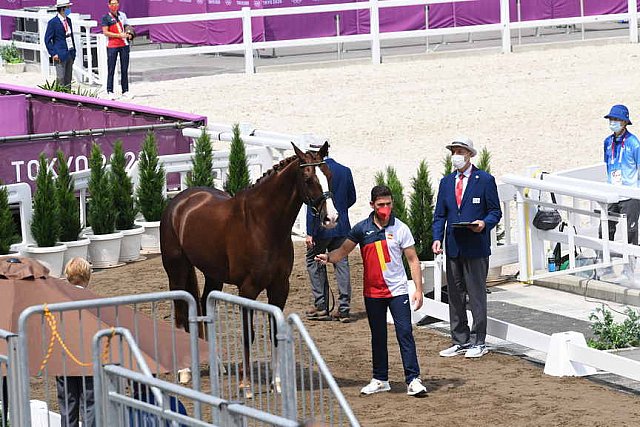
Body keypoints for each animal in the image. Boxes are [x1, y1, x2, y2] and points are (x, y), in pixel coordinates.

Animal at [160, 144, 338, 332]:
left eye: (329, 175)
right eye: (308, 179)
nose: (331, 218)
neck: (262, 224)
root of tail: (179, 201)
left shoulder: (280, 287)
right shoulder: (247, 290)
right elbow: (248, 334)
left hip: (213, 274)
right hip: (176, 270)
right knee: (180, 312)